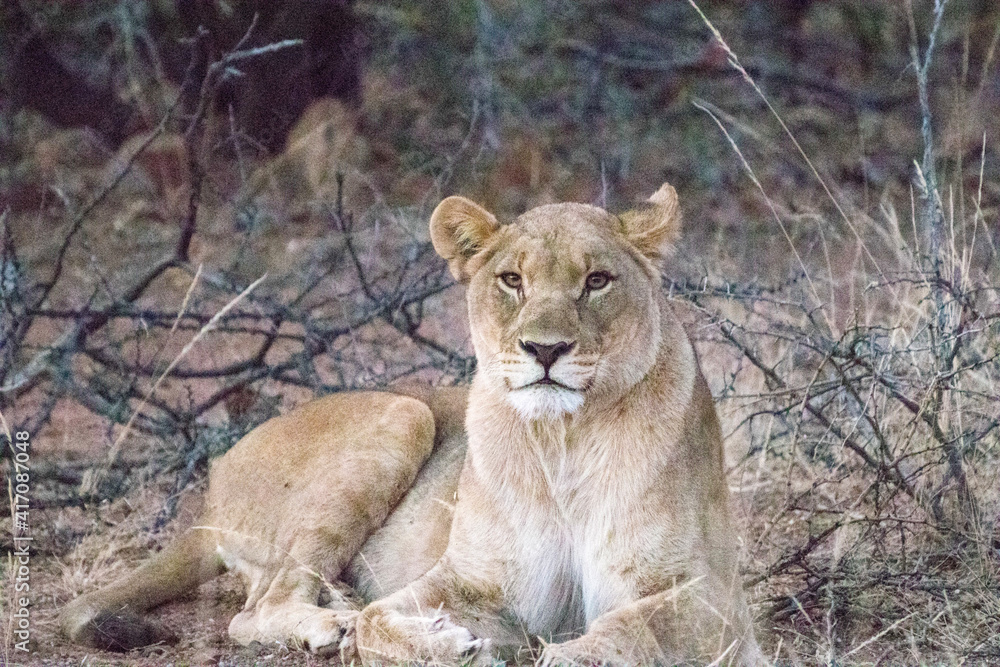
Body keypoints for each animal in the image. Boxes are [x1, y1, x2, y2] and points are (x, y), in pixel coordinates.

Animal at [60, 183, 761, 665]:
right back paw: (331, 620)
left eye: (597, 281)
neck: (562, 439)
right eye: (512, 280)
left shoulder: (714, 601)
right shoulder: (474, 581)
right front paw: (446, 644)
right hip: (404, 414)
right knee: (258, 608)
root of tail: (213, 482)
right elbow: (380, 621)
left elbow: (627, 629)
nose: (545, 350)